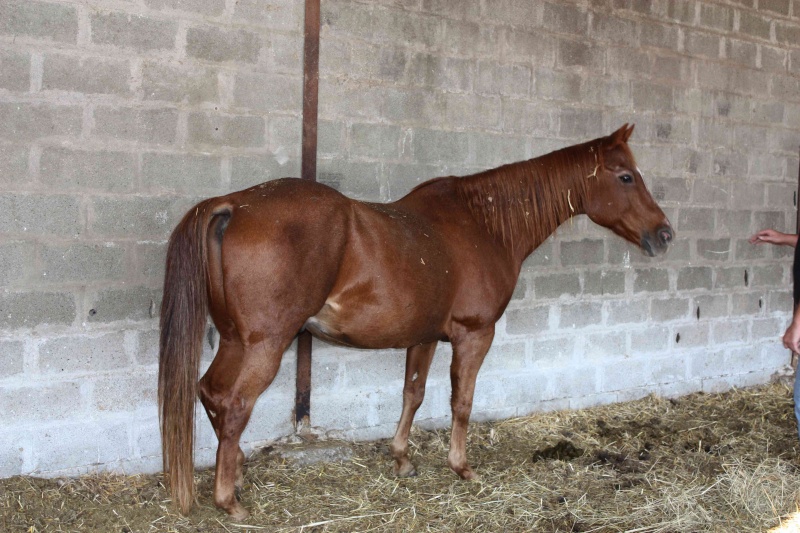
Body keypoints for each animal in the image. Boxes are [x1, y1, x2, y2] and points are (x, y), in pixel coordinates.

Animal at [156, 123, 668, 516]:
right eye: (626, 176)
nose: (664, 234)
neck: (484, 224)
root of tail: (233, 204)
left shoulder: (423, 337)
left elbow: (413, 394)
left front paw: (402, 460)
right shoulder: (474, 335)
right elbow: (461, 402)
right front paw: (462, 466)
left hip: (235, 340)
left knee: (212, 394)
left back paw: (237, 474)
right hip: (265, 344)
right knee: (235, 404)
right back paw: (229, 501)